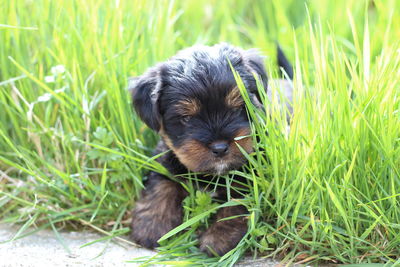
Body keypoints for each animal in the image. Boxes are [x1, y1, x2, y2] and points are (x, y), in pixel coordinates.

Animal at [130, 43, 292, 256]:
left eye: (238, 108)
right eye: (186, 118)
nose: (220, 147)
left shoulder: (251, 177)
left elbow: (236, 203)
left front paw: (218, 238)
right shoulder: (166, 159)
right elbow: (160, 185)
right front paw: (151, 224)